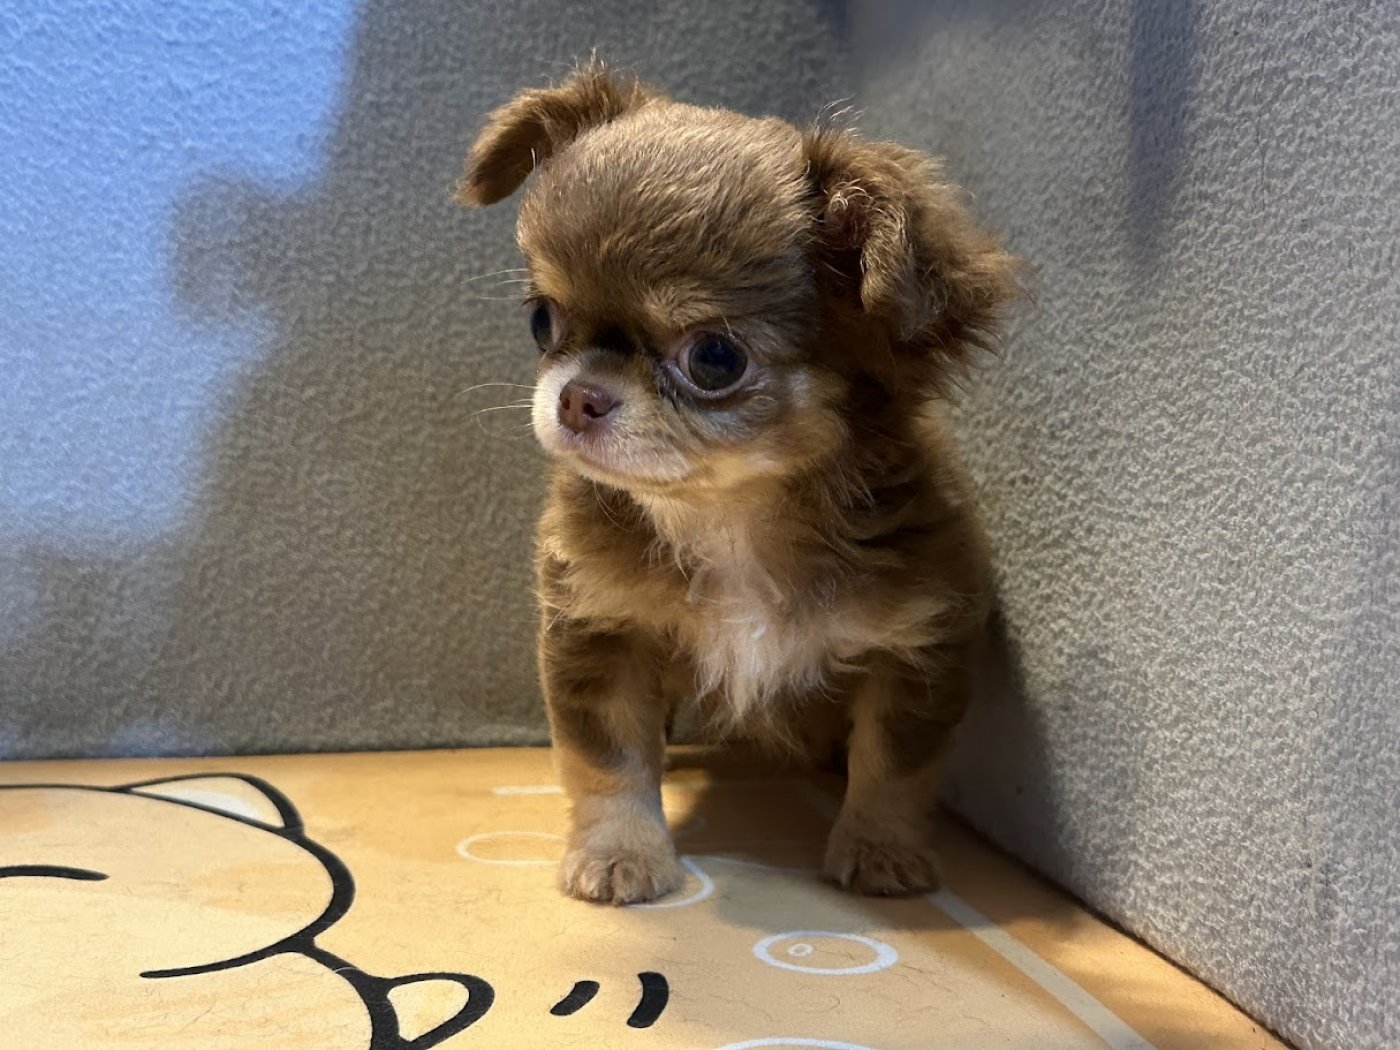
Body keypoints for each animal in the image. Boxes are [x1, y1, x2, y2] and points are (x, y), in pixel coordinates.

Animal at [459, 62, 1021, 905]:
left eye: (715, 359)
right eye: (542, 321)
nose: (576, 396)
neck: (727, 521)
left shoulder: (918, 650)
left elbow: (893, 768)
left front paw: (881, 849)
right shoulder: (602, 636)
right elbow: (608, 765)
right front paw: (620, 855)